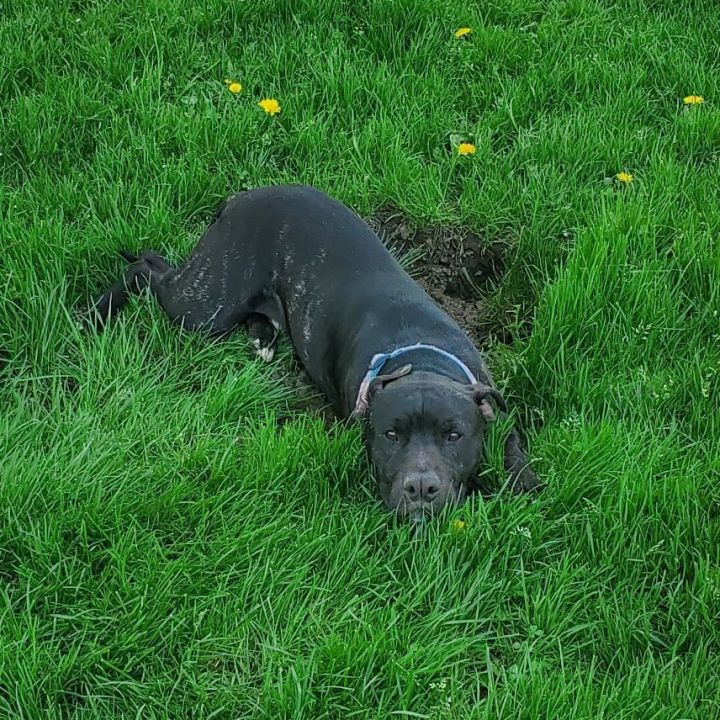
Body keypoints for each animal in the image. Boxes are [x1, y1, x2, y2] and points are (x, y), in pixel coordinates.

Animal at [91, 183, 540, 516]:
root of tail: (241, 199)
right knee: (145, 268)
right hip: (206, 303)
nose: (420, 486)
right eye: (391, 434)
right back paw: (97, 315)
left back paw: (263, 337)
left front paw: (526, 482)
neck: (422, 358)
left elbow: (512, 445)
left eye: (454, 435)